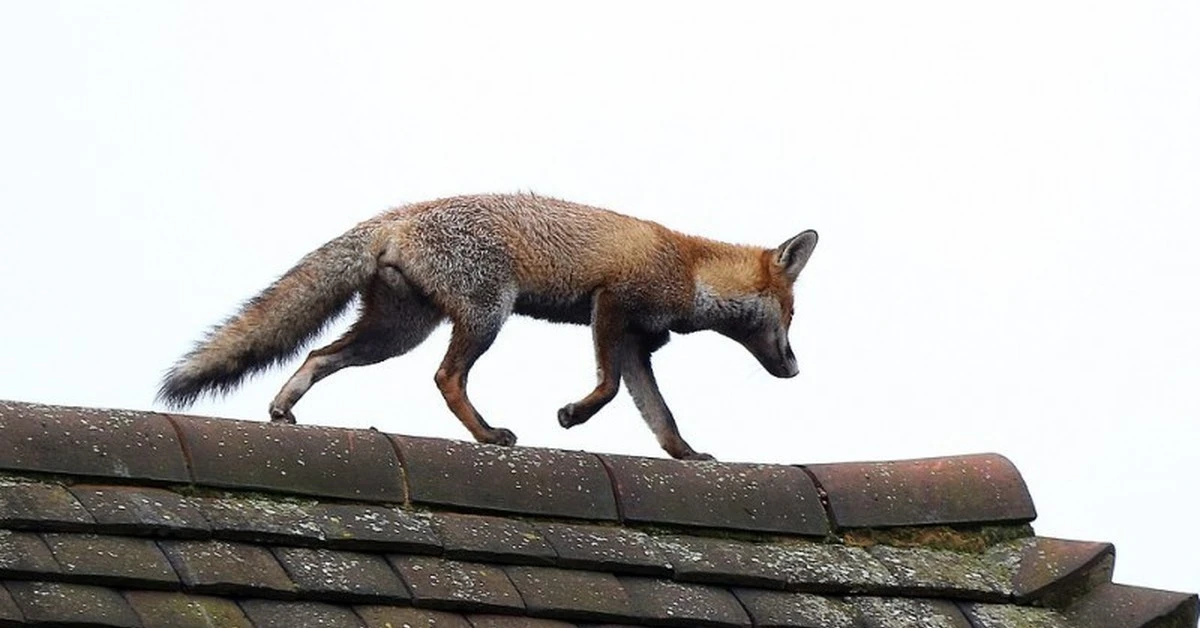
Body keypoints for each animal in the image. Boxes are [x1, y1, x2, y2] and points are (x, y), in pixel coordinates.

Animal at [158, 193, 818, 460]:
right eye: (792, 317)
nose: (795, 369)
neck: (688, 268)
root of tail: (397, 215)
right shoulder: (610, 308)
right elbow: (605, 390)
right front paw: (572, 416)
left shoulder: (638, 344)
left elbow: (661, 417)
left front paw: (688, 455)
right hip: (484, 316)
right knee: (446, 378)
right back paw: (486, 435)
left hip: (395, 334)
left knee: (319, 355)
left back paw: (283, 409)